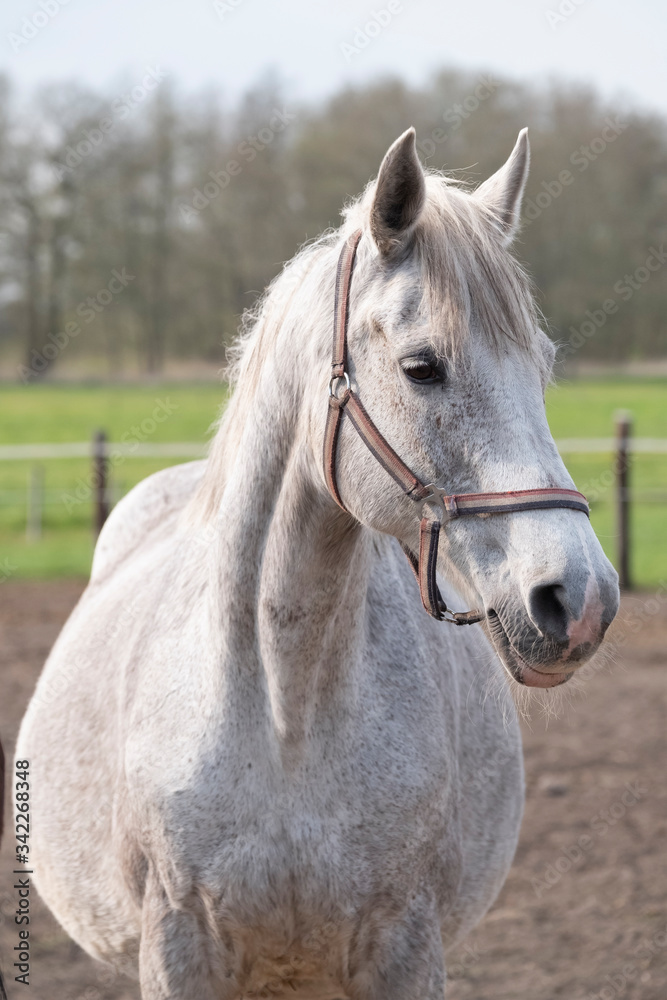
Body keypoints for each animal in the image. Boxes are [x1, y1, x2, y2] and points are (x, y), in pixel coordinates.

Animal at [17, 129, 620, 996]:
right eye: (421, 366)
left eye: (539, 367)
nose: (579, 599)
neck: (284, 711)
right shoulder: (175, 949)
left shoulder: (404, 948)